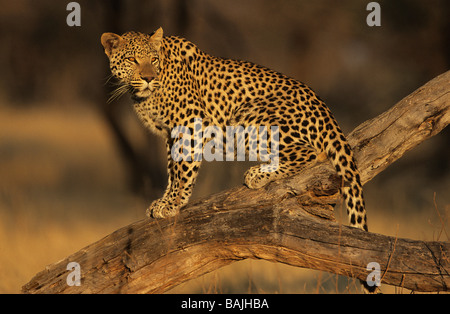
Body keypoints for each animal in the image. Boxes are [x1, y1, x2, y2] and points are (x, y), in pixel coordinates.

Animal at [100, 27, 368, 231]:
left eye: (153, 60)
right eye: (132, 60)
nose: (148, 78)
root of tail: (325, 110)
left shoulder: (190, 123)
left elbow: (183, 169)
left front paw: (173, 204)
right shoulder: (170, 133)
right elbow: (172, 170)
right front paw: (163, 201)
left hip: (249, 117)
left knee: (311, 153)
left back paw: (257, 174)